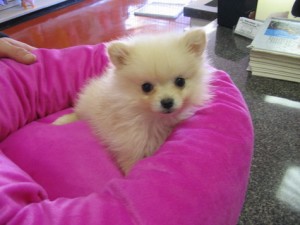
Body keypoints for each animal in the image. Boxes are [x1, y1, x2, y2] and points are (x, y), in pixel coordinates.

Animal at [52, 28, 210, 174]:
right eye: (146, 87)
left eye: (180, 81)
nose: (167, 102)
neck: (154, 119)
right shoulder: (130, 144)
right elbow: (131, 163)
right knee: (77, 114)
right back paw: (62, 121)